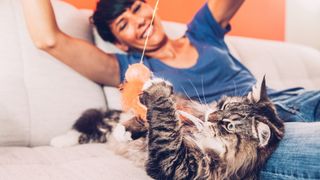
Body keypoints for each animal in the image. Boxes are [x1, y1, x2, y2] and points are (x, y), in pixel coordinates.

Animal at [51, 76, 284, 179]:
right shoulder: (188, 113)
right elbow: (162, 119)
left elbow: (165, 127)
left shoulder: (179, 166)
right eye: (223, 106)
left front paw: (158, 91)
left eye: (228, 125)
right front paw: (129, 129)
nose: (210, 116)